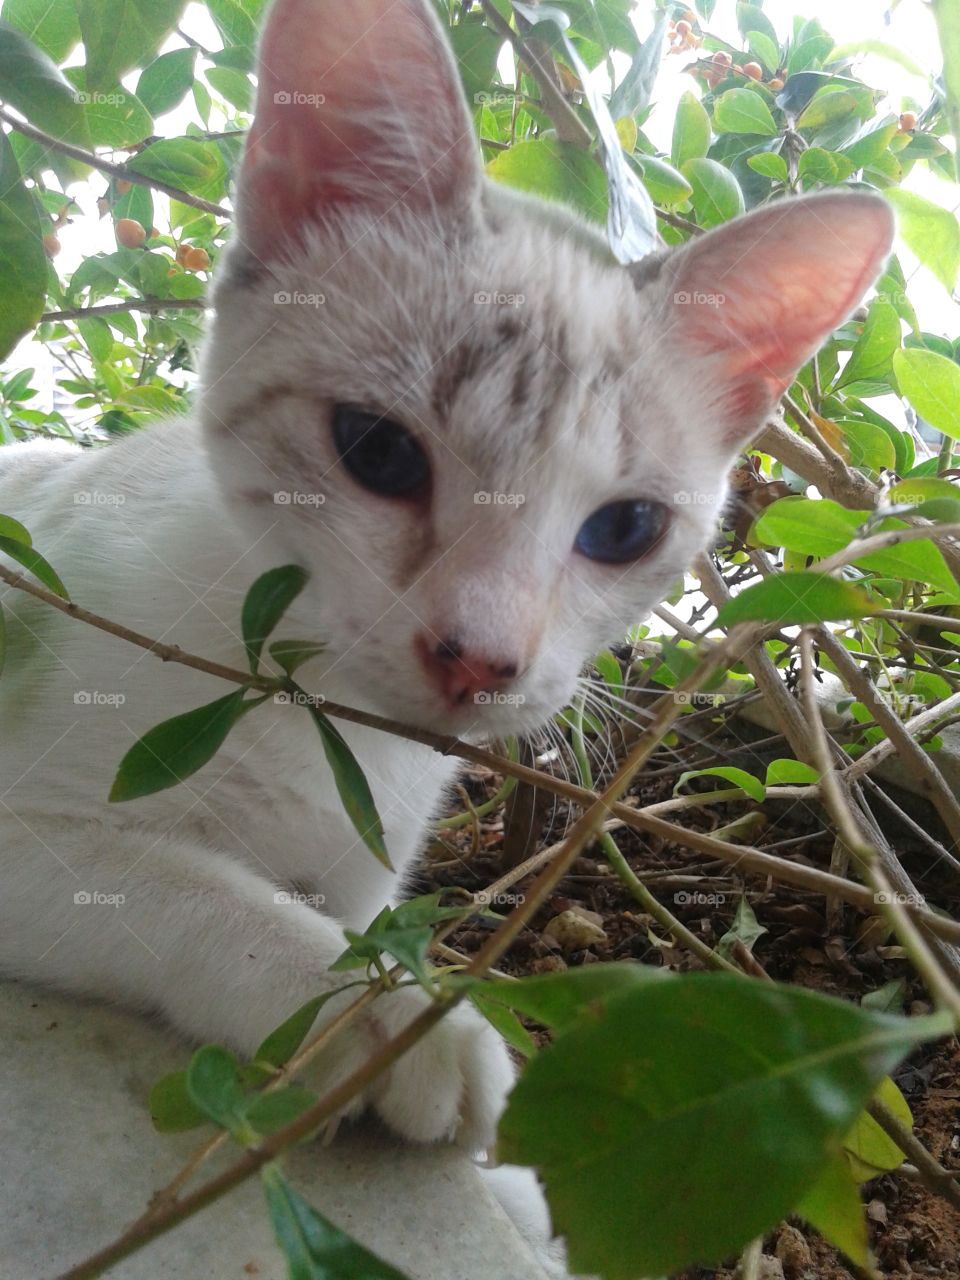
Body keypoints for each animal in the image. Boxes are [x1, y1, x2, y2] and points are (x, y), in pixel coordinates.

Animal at [0, 0, 896, 1162]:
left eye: (624, 528)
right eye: (378, 451)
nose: (478, 658)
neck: (319, 719)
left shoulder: (365, 867)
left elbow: (345, 915)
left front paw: (388, 987)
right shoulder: (34, 824)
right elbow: (183, 887)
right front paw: (371, 1012)